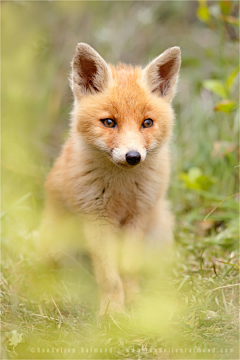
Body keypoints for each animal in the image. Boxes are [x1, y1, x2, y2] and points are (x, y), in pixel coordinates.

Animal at [42, 43, 180, 316]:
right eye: (109, 122)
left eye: (147, 123)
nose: (133, 156)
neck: (121, 190)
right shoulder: (96, 220)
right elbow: (109, 276)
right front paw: (112, 313)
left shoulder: (138, 217)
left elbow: (128, 269)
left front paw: (134, 304)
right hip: (59, 244)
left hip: (159, 233)